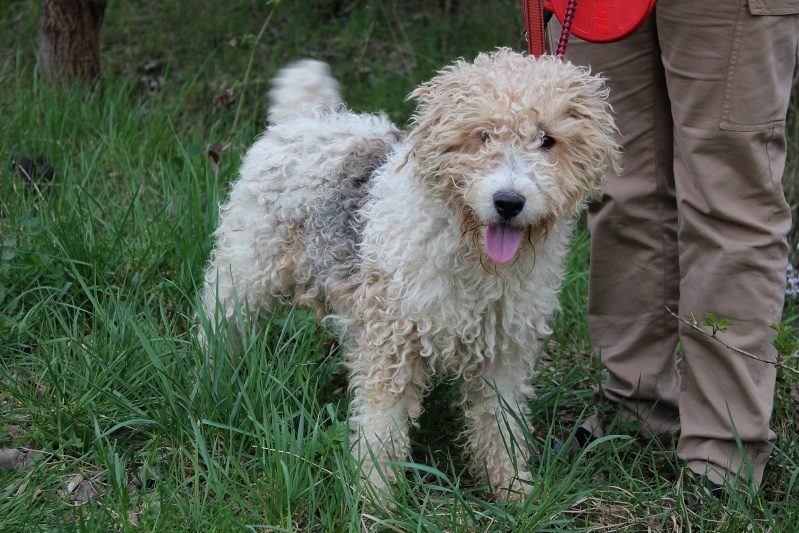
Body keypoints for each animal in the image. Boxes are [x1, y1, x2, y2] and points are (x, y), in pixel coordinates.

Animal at [198, 47, 620, 500]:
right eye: (483, 135)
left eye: (547, 140)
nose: (508, 202)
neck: (475, 261)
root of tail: (305, 119)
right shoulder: (392, 343)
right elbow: (381, 429)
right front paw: (375, 499)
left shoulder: (505, 353)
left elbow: (500, 425)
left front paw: (512, 491)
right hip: (244, 271)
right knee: (217, 322)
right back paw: (211, 379)